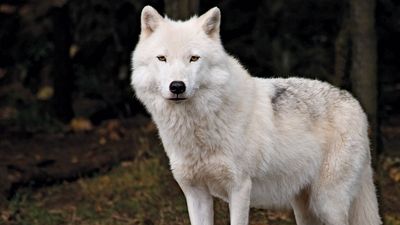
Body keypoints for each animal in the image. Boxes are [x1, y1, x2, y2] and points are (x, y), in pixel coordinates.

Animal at [131, 5, 382, 225]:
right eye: (162, 58)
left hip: (327, 204)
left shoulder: (240, 188)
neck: (198, 127)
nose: (177, 86)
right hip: (304, 208)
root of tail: (354, 103)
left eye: (194, 58)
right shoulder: (195, 193)